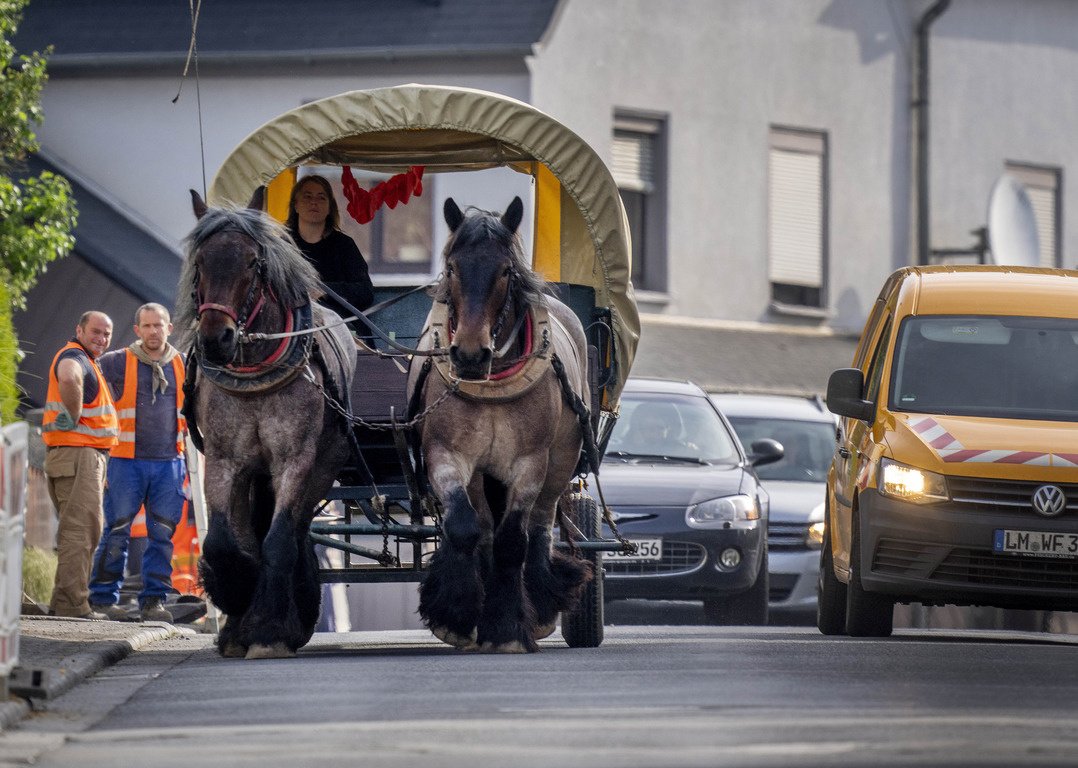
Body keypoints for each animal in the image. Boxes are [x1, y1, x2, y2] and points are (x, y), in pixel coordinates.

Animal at [405, 195, 595, 651]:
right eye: (452, 267)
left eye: (506, 270)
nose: (470, 354)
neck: (490, 381)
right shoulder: (447, 455)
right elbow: (465, 528)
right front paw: (457, 614)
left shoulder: (529, 464)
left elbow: (514, 541)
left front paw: (507, 627)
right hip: (481, 474)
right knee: (486, 528)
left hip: (561, 461)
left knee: (540, 525)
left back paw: (540, 602)